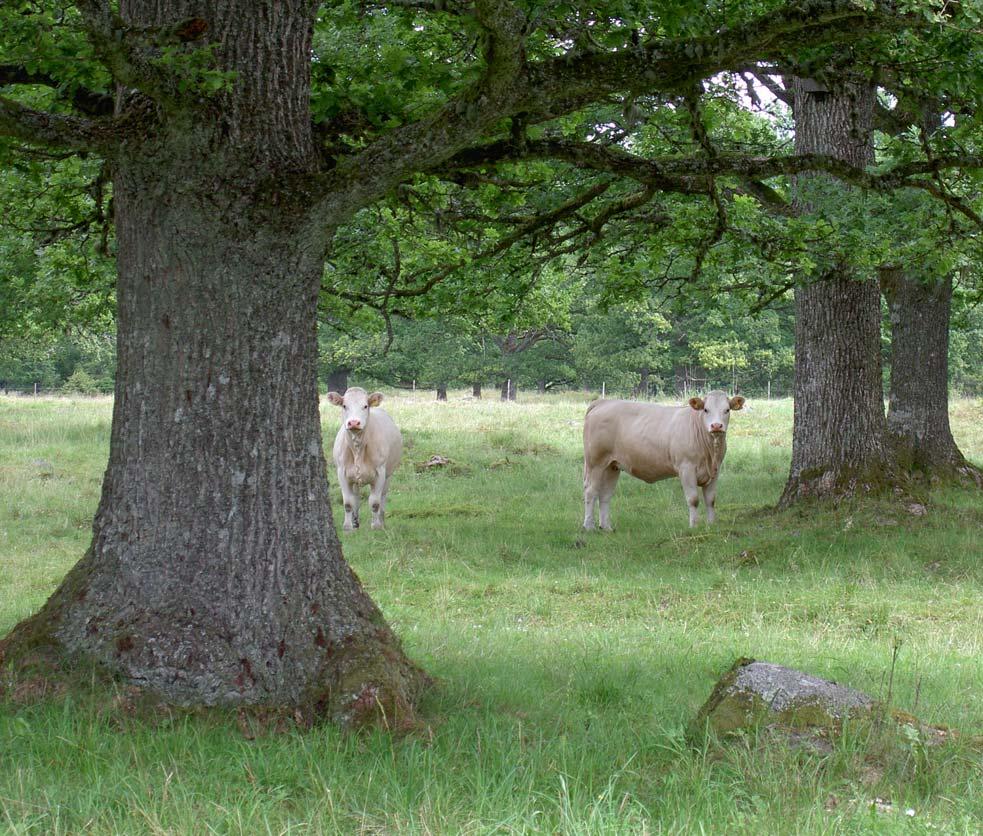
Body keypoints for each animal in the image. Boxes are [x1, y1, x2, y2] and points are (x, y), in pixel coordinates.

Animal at [328, 386, 402, 528]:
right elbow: (348, 502)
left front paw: (376, 526)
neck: (358, 449)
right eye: (344, 405)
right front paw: (348, 527)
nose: (354, 422)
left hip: (388, 475)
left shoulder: (380, 472)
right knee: (356, 496)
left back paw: (381, 521)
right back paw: (355, 521)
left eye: (365, 406)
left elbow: (375, 502)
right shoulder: (341, 472)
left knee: (383, 497)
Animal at [584, 390, 744, 528]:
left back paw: (606, 527)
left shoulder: (715, 470)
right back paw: (589, 526)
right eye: (706, 410)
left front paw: (711, 525)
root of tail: (604, 402)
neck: (710, 453)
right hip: (595, 463)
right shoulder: (686, 468)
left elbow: (711, 500)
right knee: (590, 491)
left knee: (605, 495)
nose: (716, 426)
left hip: (612, 466)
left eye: (727, 410)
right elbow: (693, 499)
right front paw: (694, 526)